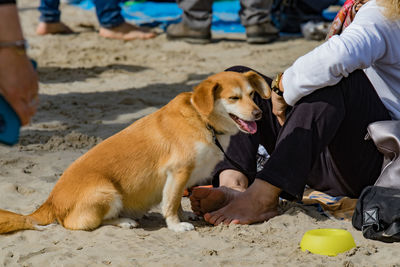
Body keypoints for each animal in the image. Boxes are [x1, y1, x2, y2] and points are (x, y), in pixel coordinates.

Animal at [0, 70, 270, 233]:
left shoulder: (180, 178)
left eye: (252, 95)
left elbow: (175, 202)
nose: (259, 114)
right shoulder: (178, 172)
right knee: (84, 224)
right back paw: (125, 220)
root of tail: (50, 202)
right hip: (107, 192)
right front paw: (176, 225)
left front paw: (185, 216)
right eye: (234, 98)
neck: (202, 119)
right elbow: (170, 203)